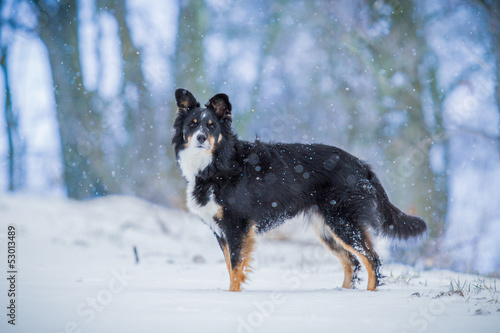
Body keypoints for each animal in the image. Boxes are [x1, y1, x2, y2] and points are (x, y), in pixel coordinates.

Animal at [172, 88, 426, 290]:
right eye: (192, 125)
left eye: (212, 126)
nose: (201, 138)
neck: (217, 164)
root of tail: (362, 165)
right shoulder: (221, 231)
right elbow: (230, 267)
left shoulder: (238, 227)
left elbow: (236, 268)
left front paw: (233, 297)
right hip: (327, 229)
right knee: (352, 263)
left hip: (344, 222)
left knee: (372, 260)